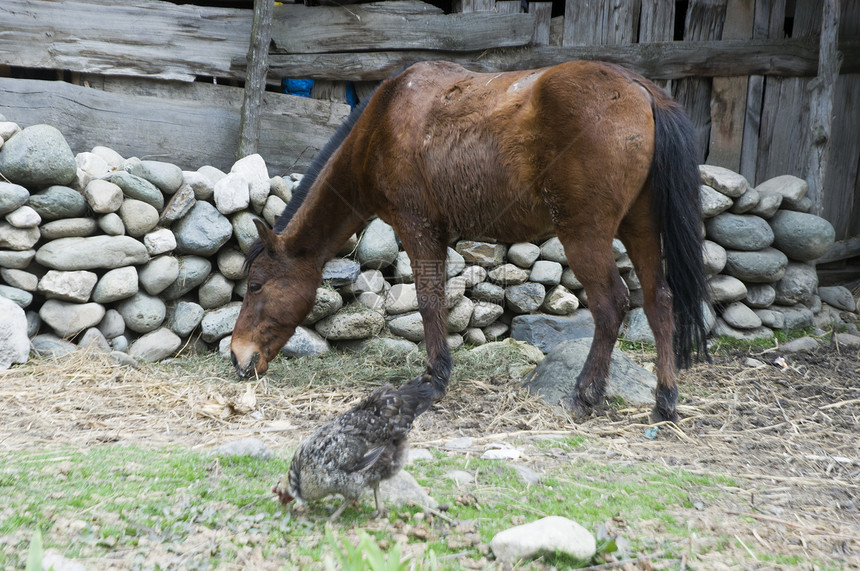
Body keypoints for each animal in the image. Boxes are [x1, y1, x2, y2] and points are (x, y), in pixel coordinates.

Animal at [228, 60, 704, 422]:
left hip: (586, 235)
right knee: (659, 301)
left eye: (256, 286)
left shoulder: (418, 228)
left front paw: (435, 380)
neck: (382, 122)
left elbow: (428, 300)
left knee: (611, 305)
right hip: (641, 228)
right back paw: (665, 401)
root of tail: (642, 91)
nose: (237, 356)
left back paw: (585, 395)